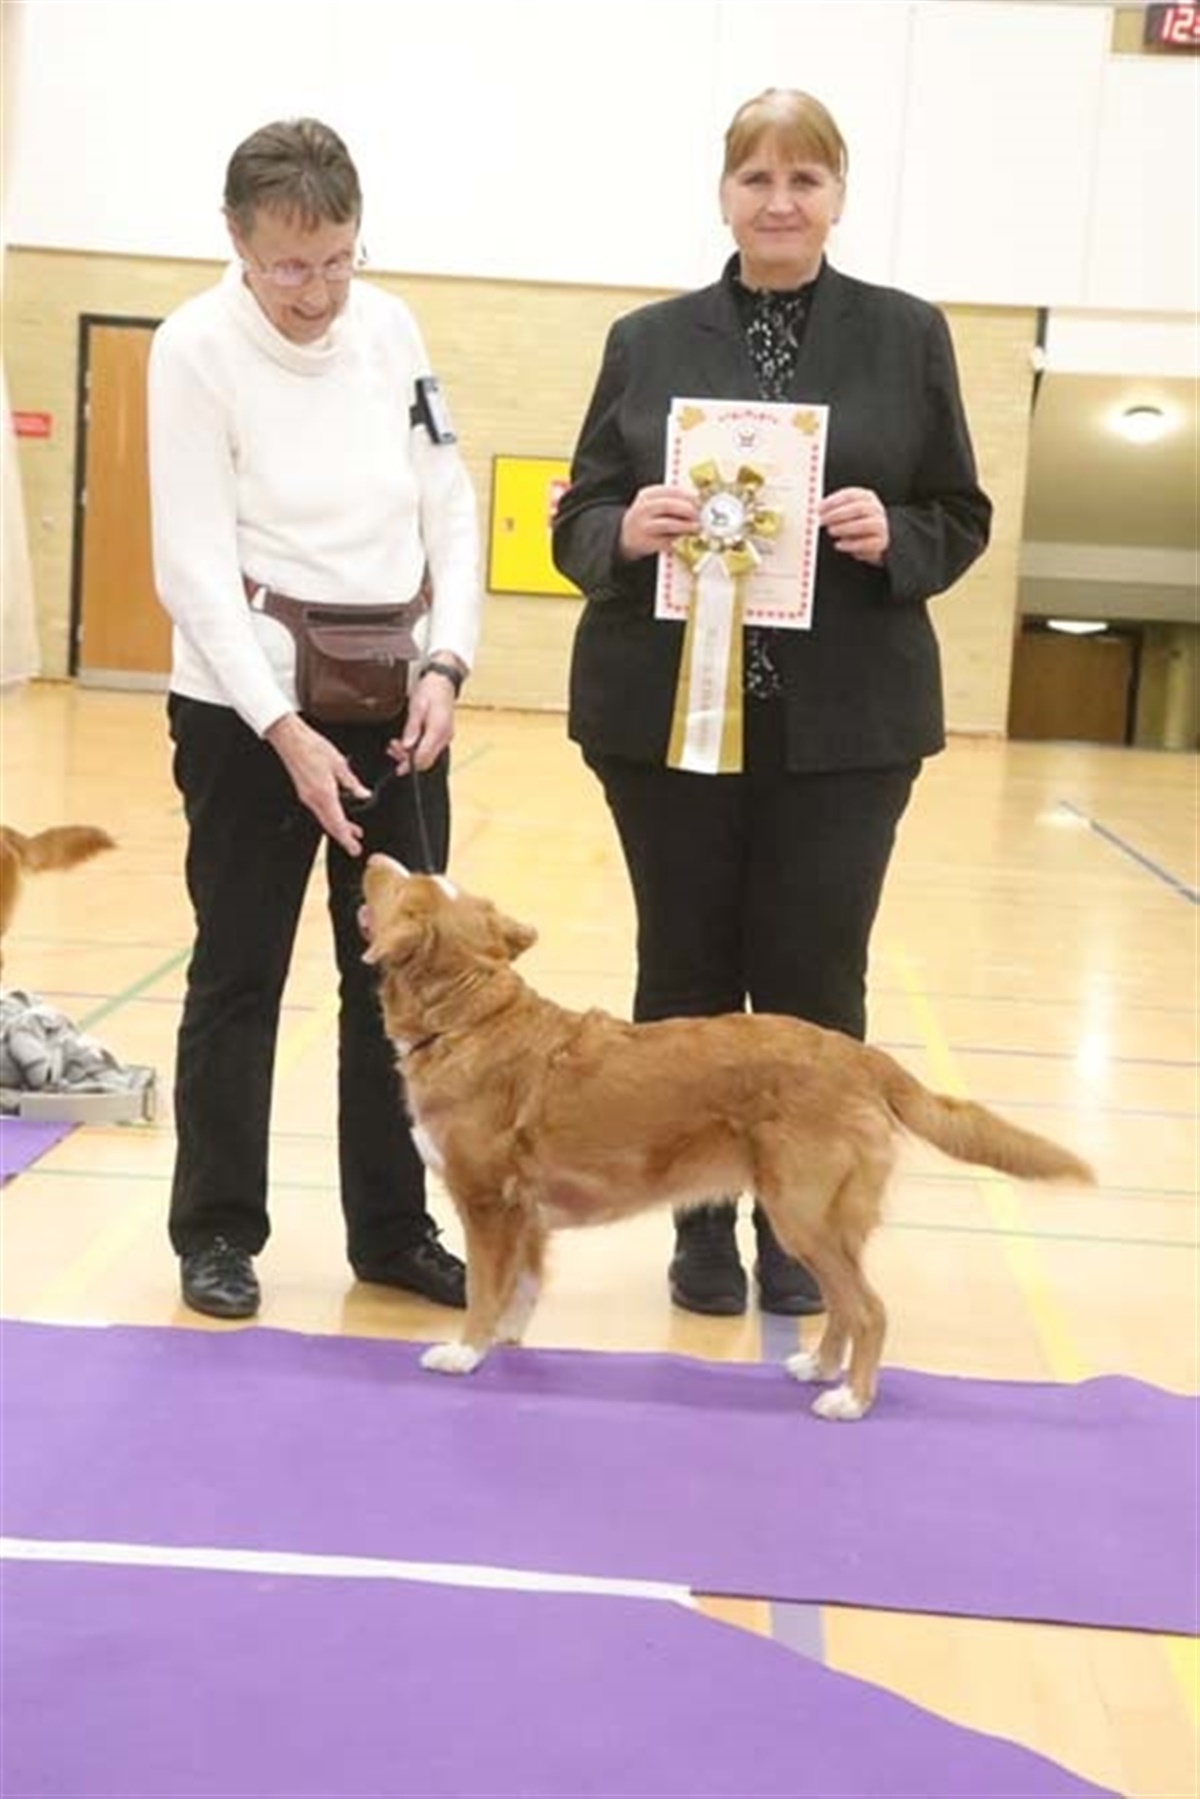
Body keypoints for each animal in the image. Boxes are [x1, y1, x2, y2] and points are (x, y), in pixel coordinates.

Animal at [359, 857, 1095, 1420]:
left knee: (871, 1308)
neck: (469, 1017)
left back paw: (850, 1399)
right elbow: (523, 1284)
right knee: (844, 1304)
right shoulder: (526, 1213)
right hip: (818, 1220)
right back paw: (819, 1366)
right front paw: (506, 1343)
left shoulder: (488, 1201)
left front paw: (465, 1350)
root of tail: (857, 1055)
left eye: (406, 885)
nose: (370, 856)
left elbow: (486, 1287)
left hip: (801, 1212)